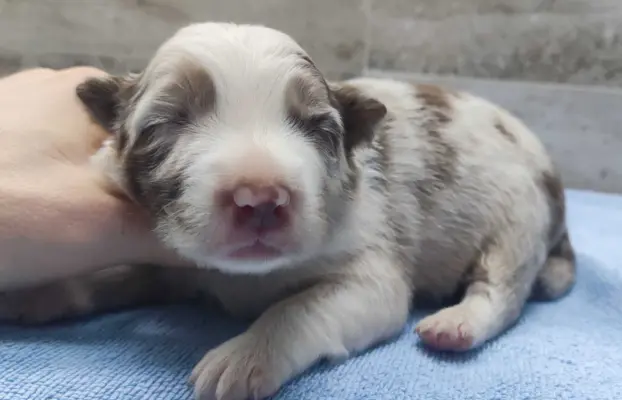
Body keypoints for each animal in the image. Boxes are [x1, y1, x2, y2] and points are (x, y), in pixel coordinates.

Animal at [0, 22, 576, 400]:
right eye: (166, 125)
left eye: (319, 128)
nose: (260, 197)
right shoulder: (168, 260)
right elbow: (117, 271)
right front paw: (44, 293)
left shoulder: (369, 273)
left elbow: (297, 308)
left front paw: (242, 358)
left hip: (517, 219)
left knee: (502, 290)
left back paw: (457, 324)